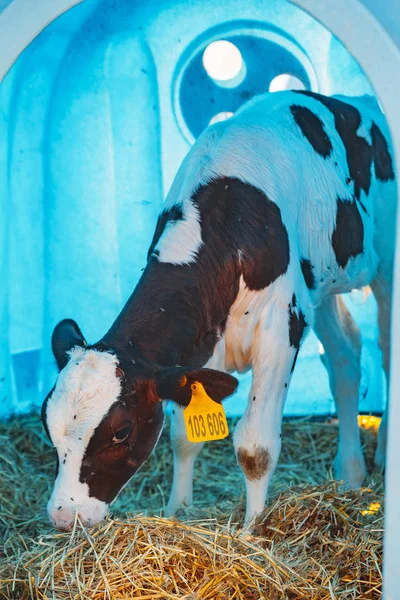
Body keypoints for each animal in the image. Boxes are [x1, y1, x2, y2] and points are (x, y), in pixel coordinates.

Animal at [41, 90, 394, 528]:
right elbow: (184, 437)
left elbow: (255, 447)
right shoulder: (197, 347)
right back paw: (350, 473)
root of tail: (355, 99)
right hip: (320, 284)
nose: (64, 515)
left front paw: (253, 530)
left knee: (386, 347)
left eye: (121, 431)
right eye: (47, 426)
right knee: (345, 357)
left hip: (386, 256)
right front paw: (178, 510)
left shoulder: (281, 328)